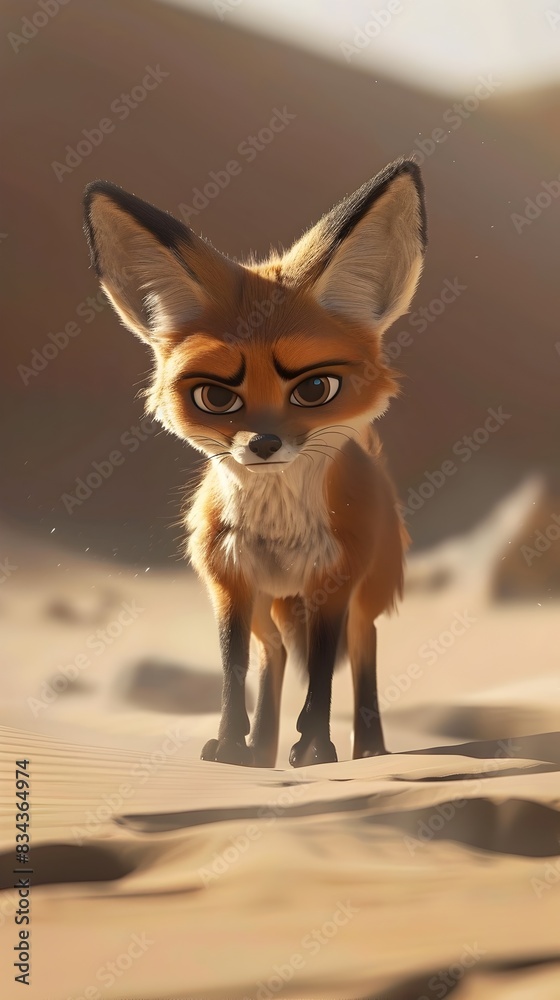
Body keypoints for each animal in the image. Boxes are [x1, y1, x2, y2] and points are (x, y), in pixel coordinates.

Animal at [83, 157, 427, 768]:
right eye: (217, 398)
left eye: (315, 389)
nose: (263, 443)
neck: (277, 530)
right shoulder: (231, 582)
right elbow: (233, 667)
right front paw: (228, 744)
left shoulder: (332, 583)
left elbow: (323, 674)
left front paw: (315, 748)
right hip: (272, 606)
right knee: (273, 657)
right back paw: (260, 749)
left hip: (364, 597)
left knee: (361, 653)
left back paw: (370, 751)